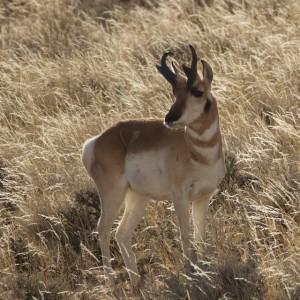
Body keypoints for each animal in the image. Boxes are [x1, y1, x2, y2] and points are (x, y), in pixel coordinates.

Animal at [82, 44, 225, 286]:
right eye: (175, 93)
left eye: (197, 91)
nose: (169, 118)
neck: (198, 152)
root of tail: (95, 142)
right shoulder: (179, 196)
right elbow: (185, 234)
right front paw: (190, 271)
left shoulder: (203, 198)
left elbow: (200, 234)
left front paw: (205, 268)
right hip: (113, 195)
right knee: (103, 229)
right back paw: (111, 282)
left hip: (138, 197)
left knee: (122, 233)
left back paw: (136, 282)